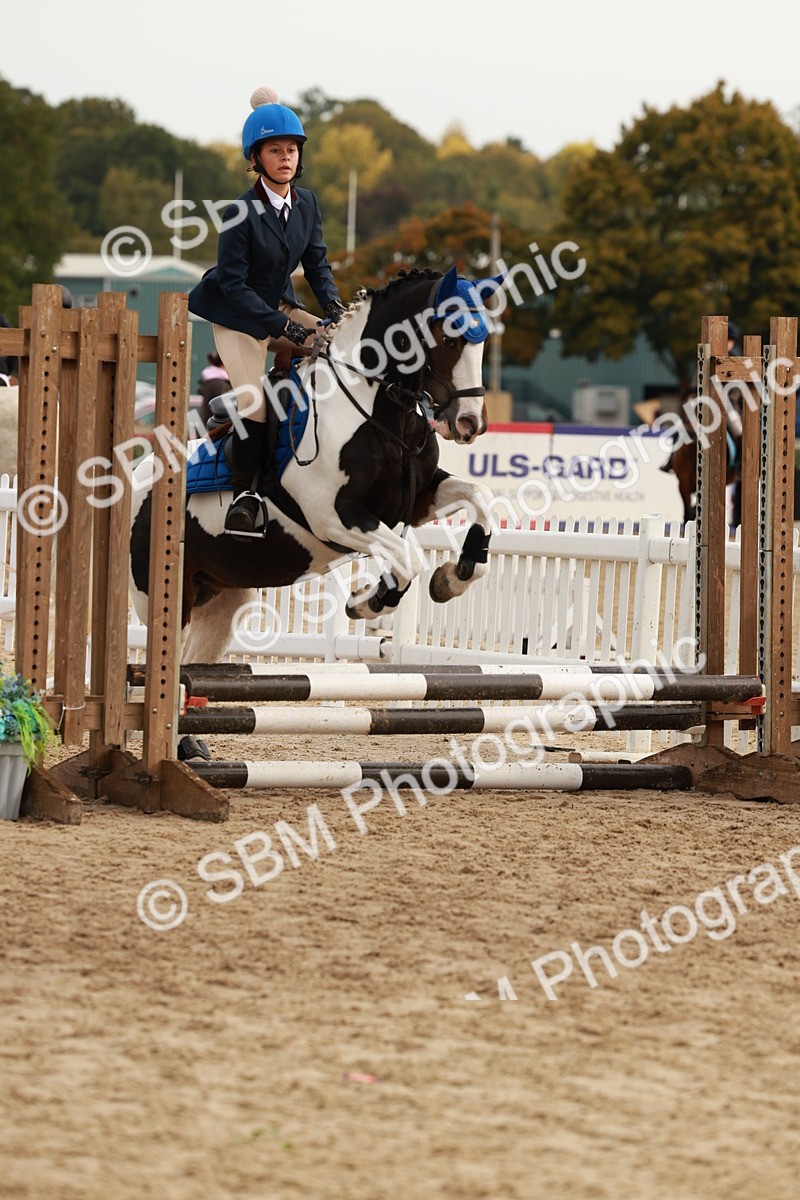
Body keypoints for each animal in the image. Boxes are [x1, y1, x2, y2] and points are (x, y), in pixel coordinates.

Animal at [129, 267, 499, 664]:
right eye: (448, 339)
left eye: (483, 341)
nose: (470, 423)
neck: (377, 411)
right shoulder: (332, 516)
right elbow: (407, 558)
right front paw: (367, 602)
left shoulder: (416, 500)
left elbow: (480, 496)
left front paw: (452, 578)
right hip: (164, 597)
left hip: (222, 599)